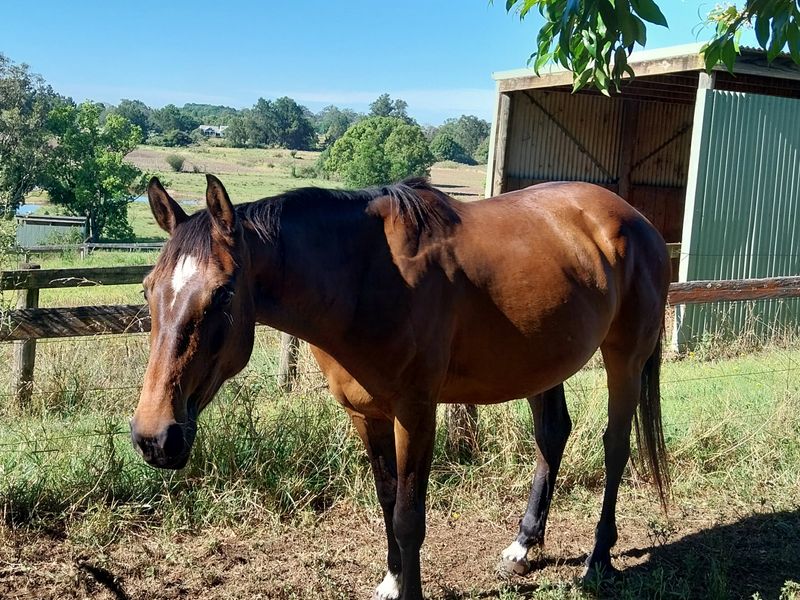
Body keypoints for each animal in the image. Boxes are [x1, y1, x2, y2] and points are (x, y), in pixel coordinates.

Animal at [131, 174, 670, 600]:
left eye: (222, 294)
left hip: (624, 358)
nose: (154, 437)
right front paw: (392, 581)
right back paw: (523, 547)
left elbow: (411, 515)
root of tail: (637, 221)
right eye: (148, 288)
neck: (364, 277)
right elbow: (388, 500)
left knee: (616, 447)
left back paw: (599, 559)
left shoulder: (415, 413)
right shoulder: (366, 414)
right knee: (552, 436)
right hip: (543, 365)